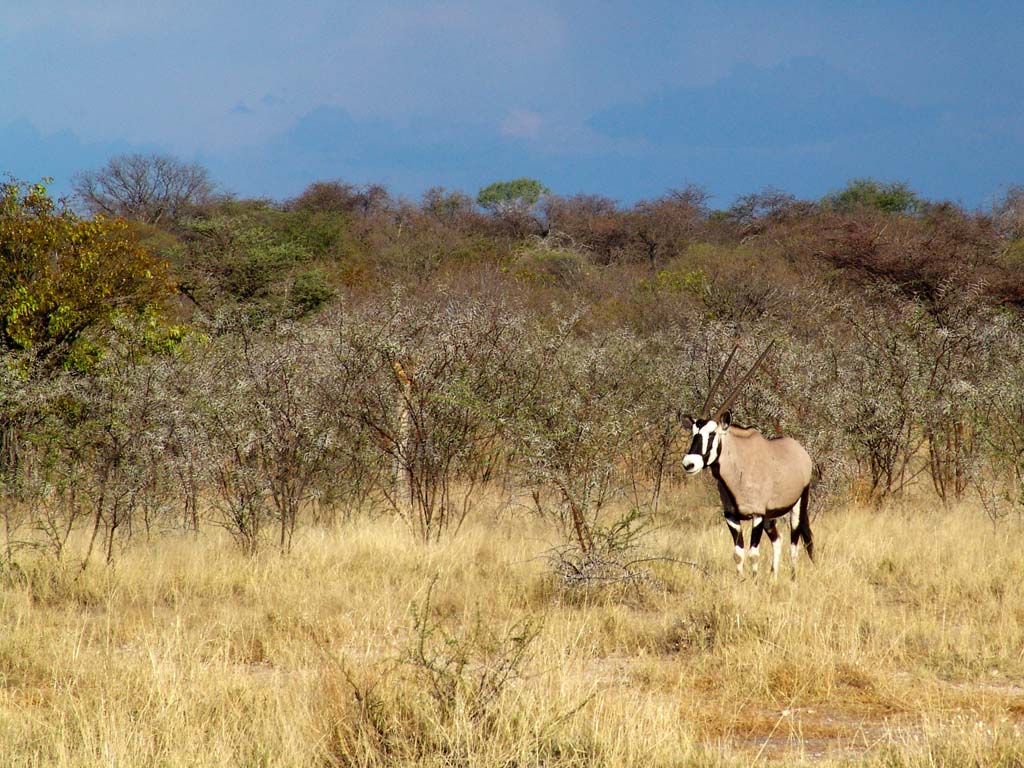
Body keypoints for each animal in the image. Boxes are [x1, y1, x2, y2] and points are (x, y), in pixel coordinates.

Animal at [679, 344, 815, 577]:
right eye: (694, 433)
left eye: (712, 434)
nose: (689, 463)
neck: (738, 466)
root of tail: (801, 452)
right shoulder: (732, 516)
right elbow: (738, 553)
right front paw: (741, 580)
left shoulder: (756, 515)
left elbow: (753, 554)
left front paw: (753, 581)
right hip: (771, 517)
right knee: (778, 540)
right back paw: (773, 577)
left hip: (797, 507)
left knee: (794, 545)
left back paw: (792, 579)